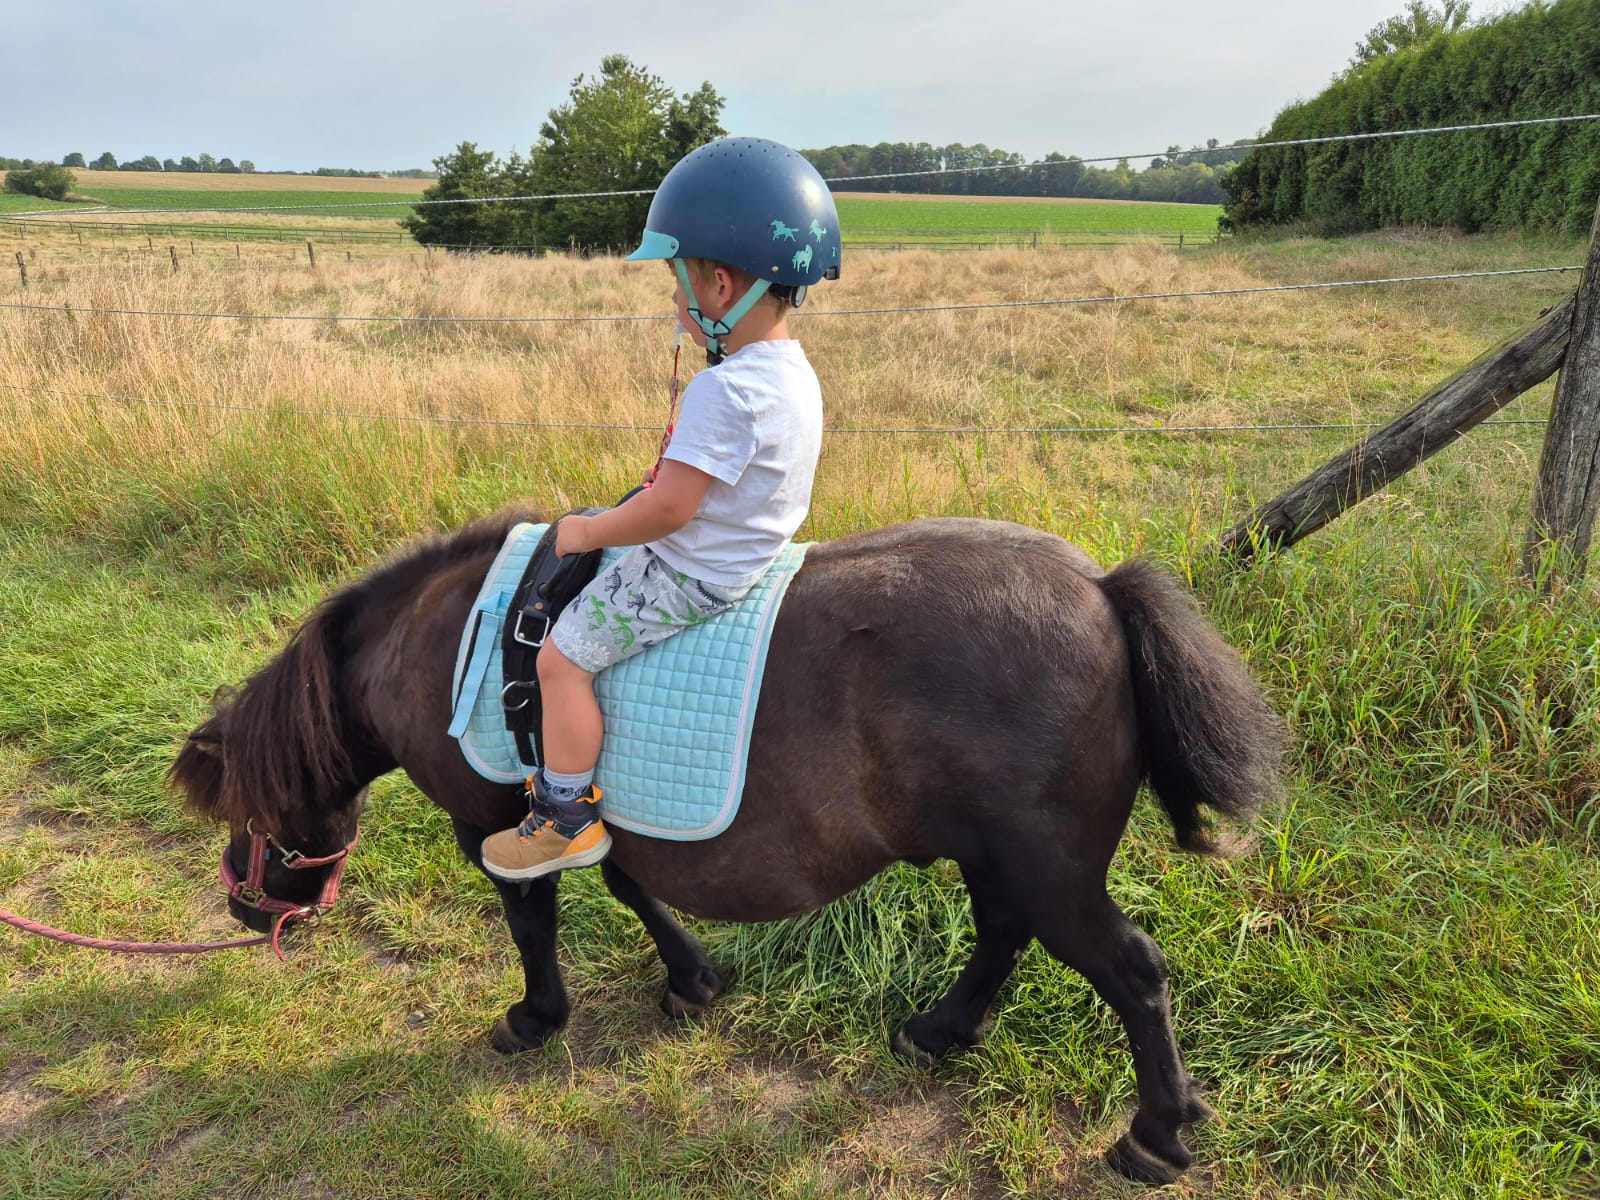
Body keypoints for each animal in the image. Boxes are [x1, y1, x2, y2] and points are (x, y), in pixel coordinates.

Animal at [169, 510, 1285, 1185]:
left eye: (246, 810)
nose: (244, 908)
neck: (457, 638)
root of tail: (1098, 587)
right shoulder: (587, 807)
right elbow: (630, 885)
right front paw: (692, 981)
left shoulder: (491, 821)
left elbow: (534, 924)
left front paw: (535, 1019)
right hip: (1004, 860)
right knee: (1003, 936)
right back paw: (942, 1031)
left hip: (1051, 872)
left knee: (1132, 973)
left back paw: (1155, 1134)